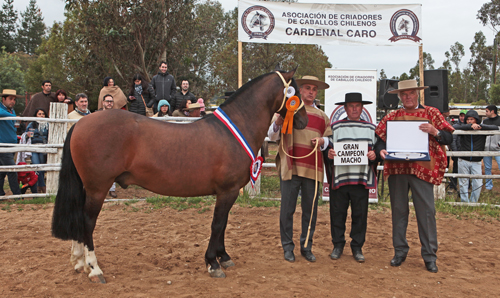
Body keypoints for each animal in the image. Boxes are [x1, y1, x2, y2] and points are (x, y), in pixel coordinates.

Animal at [52, 69, 306, 282]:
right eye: (294, 91)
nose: (303, 120)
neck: (235, 129)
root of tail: (81, 123)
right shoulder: (227, 191)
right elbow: (217, 224)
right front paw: (213, 263)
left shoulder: (229, 193)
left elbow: (223, 224)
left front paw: (224, 257)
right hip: (98, 188)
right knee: (87, 222)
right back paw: (95, 269)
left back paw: (79, 262)